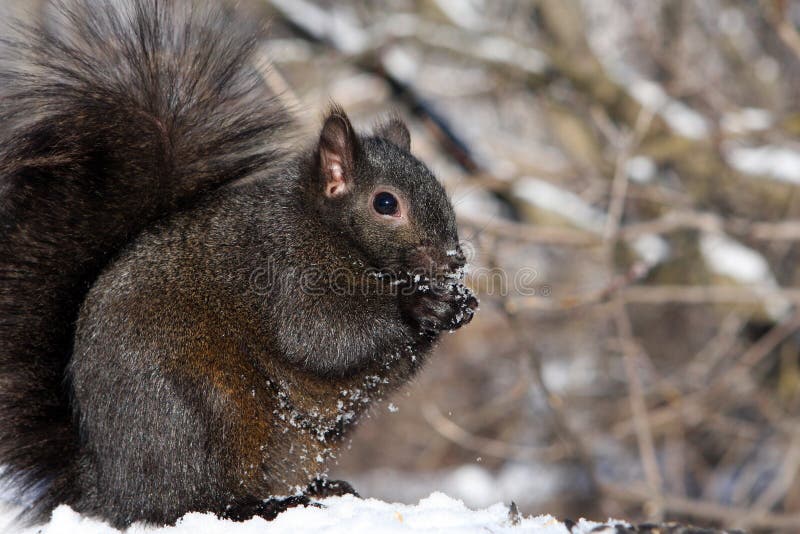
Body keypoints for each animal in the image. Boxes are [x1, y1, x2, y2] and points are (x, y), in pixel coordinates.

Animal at [0, 0, 476, 528]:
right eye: (386, 203)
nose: (454, 259)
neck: (332, 232)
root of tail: (106, 488)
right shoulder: (284, 267)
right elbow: (321, 336)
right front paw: (416, 305)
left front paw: (457, 305)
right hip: (205, 409)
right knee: (190, 501)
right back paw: (259, 506)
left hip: (294, 443)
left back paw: (318, 490)